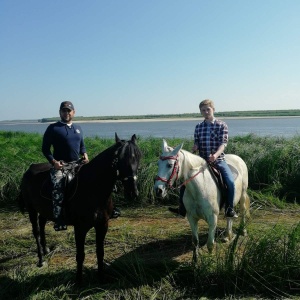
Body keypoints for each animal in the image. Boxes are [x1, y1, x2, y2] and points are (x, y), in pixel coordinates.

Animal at [18, 132, 141, 282]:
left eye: (138, 157)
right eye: (120, 159)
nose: (133, 192)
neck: (93, 189)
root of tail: (29, 169)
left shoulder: (102, 225)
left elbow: (100, 252)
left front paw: (101, 277)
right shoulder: (80, 228)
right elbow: (80, 255)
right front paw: (79, 280)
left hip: (43, 209)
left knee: (41, 224)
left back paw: (46, 249)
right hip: (31, 209)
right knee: (36, 231)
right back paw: (41, 259)